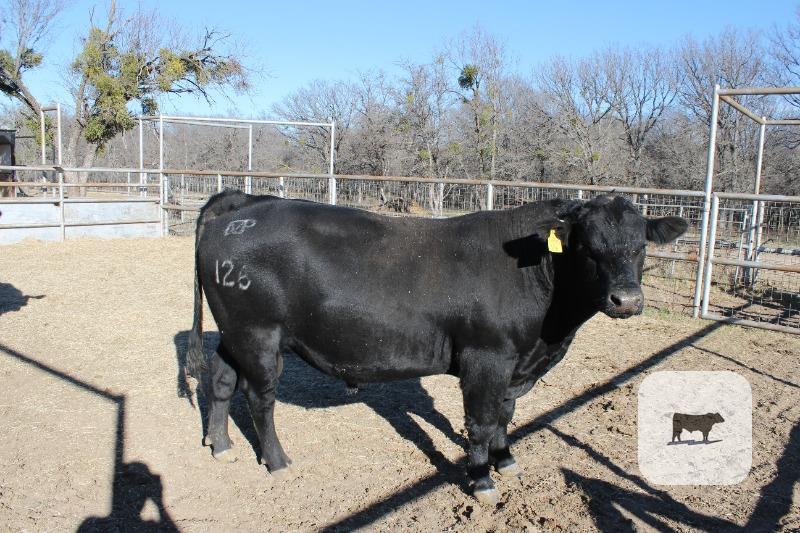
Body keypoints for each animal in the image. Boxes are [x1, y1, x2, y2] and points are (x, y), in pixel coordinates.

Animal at [185, 191, 687, 504]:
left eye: (641, 247)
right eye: (586, 247)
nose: (627, 300)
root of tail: (245, 202)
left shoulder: (515, 364)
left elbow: (504, 415)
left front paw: (506, 461)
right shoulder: (487, 357)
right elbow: (481, 422)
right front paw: (482, 480)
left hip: (234, 334)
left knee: (222, 378)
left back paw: (220, 444)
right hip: (259, 333)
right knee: (259, 396)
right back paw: (276, 461)